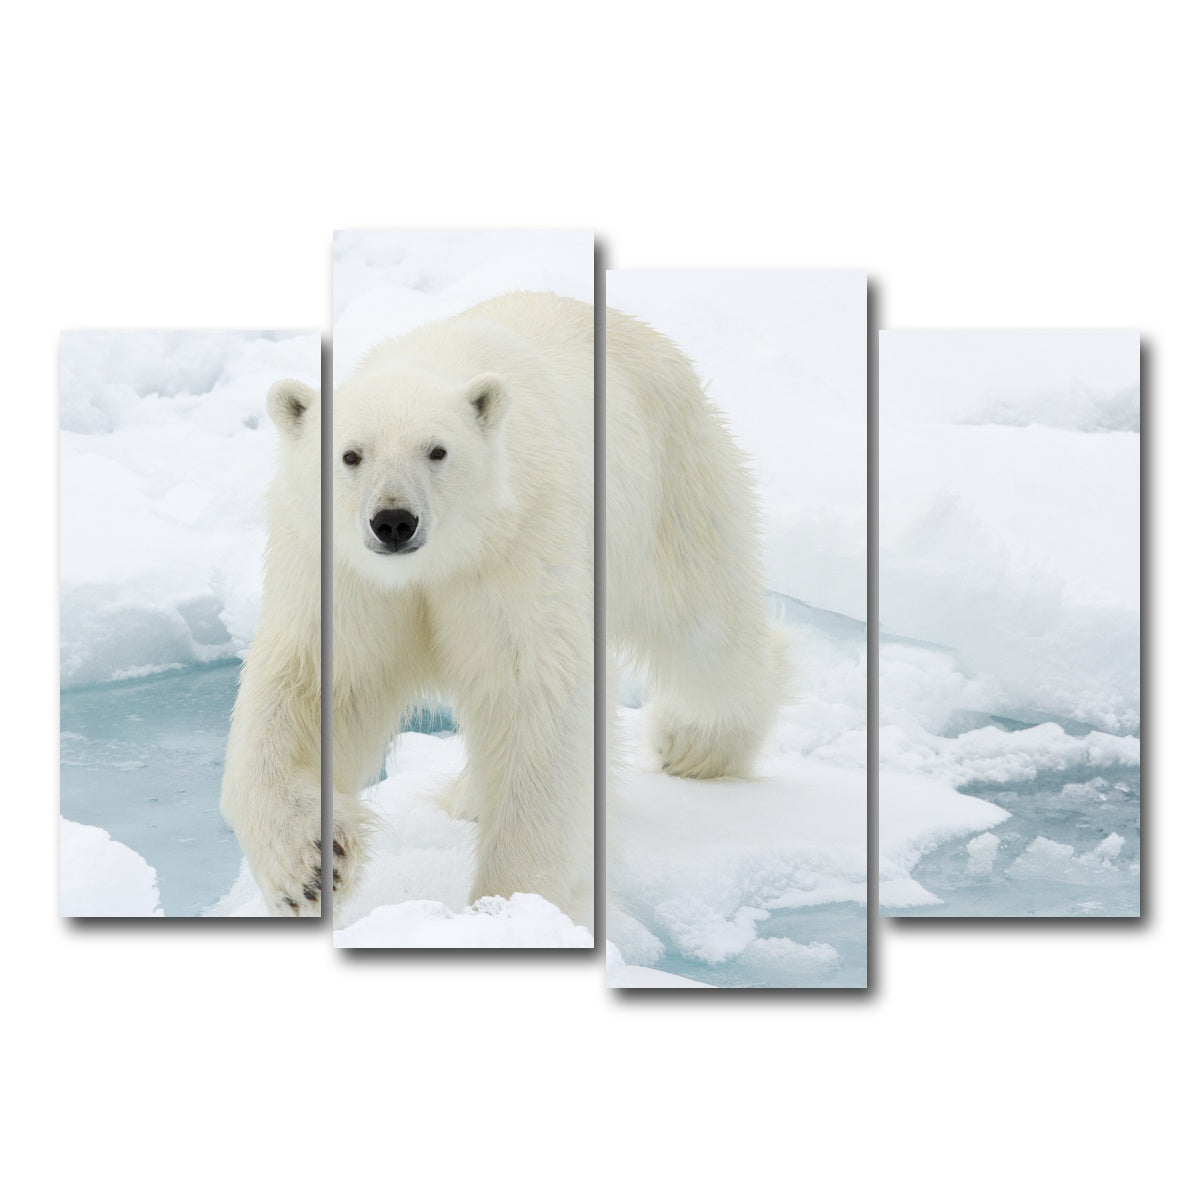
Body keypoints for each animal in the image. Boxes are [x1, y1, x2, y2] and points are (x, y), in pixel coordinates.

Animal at [219, 291, 783, 928]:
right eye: (350, 455)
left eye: (438, 450)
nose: (394, 521)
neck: (435, 564)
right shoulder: (340, 573)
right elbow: (310, 684)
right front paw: (312, 866)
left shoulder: (518, 547)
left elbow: (532, 695)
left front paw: (511, 904)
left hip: (671, 483)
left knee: (705, 628)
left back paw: (696, 744)